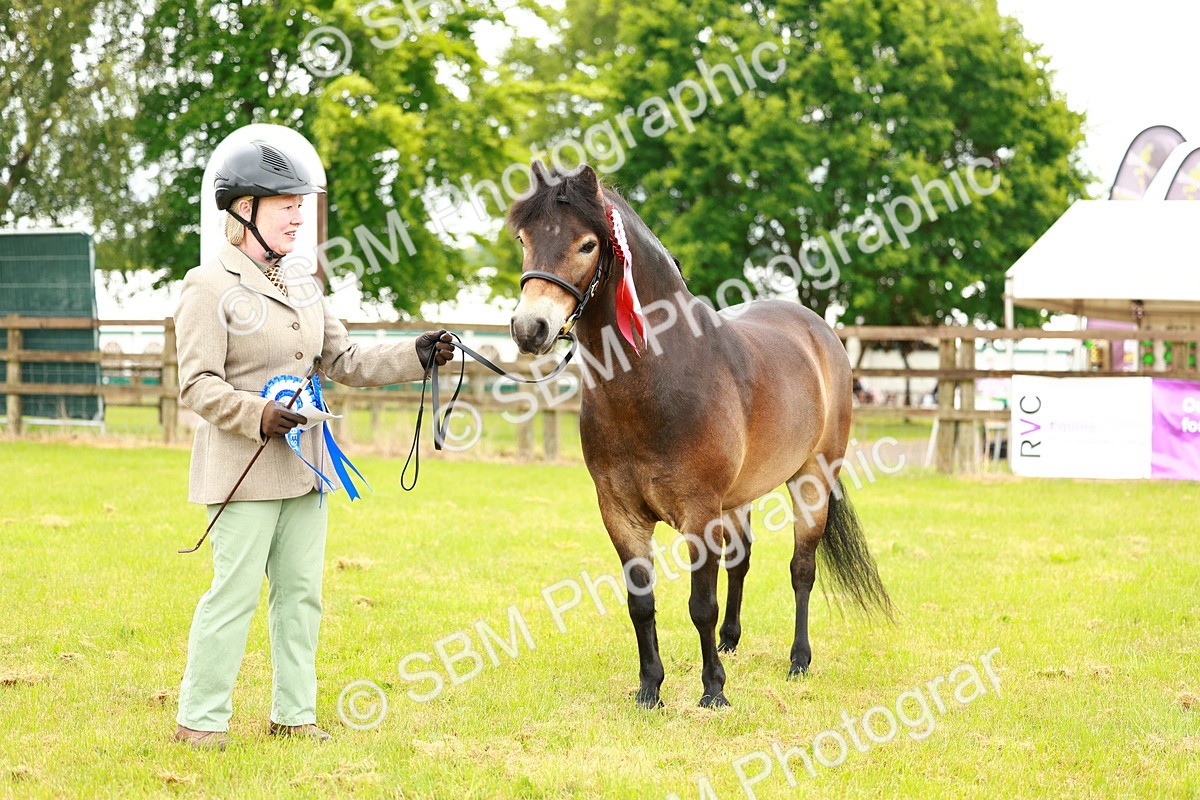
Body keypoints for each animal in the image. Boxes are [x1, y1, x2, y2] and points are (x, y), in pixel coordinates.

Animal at [507, 162, 892, 708]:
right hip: (740, 497)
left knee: (801, 568)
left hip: (812, 480)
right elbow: (641, 603)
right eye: (523, 239)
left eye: (587, 244)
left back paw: (798, 661)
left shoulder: (700, 512)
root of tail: (820, 332)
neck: (656, 376)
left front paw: (713, 692)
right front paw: (650, 688)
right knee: (742, 560)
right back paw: (731, 641)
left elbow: (700, 605)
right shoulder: (620, 514)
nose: (530, 328)